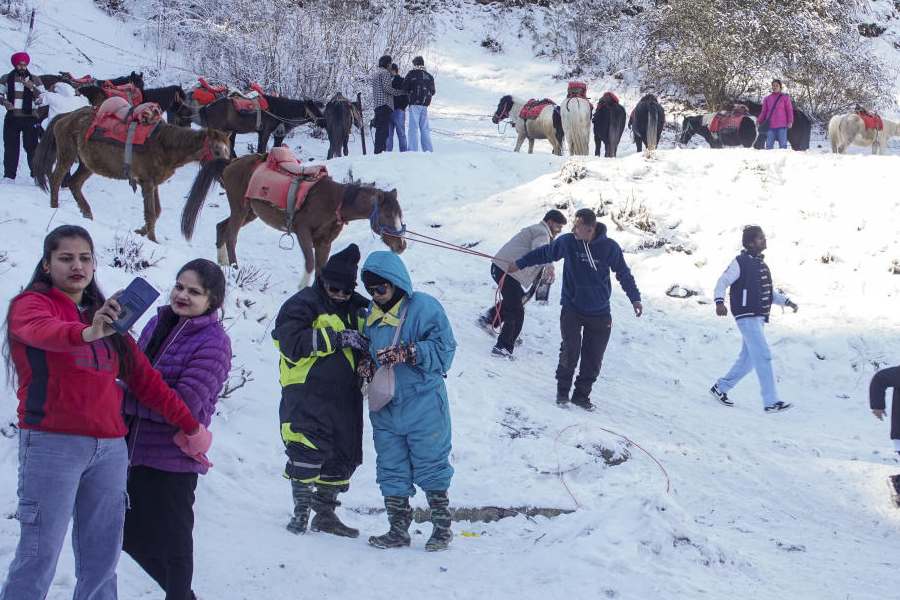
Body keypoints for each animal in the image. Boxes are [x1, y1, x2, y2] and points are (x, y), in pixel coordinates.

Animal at [33, 108, 232, 241]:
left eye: (227, 151)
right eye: (216, 150)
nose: (225, 174)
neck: (163, 145)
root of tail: (65, 116)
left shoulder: (153, 183)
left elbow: (157, 211)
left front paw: (141, 232)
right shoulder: (147, 183)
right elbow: (151, 213)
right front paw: (152, 239)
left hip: (87, 165)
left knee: (74, 183)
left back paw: (87, 213)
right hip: (67, 155)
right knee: (56, 179)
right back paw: (54, 206)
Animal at [181, 155, 406, 286]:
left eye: (400, 214)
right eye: (387, 215)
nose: (401, 245)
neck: (334, 202)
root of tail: (230, 164)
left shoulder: (324, 243)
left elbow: (321, 269)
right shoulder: (302, 232)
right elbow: (310, 264)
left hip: (250, 212)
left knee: (221, 227)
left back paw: (223, 263)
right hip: (240, 209)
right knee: (231, 237)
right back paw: (235, 270)